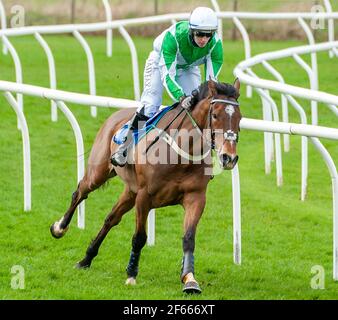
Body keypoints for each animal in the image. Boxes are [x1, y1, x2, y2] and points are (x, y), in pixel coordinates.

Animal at [49, 79, 240, 294]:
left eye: (240, 118)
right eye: (215, 115)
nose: (229, 157)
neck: (180, 156)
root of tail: (117, 115)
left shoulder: (196, 197)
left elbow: (189, 238)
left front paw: (190, 279)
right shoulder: (144, 196)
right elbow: (140, 236)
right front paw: (131, 274)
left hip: (130, 191)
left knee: (110, 218)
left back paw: (86, 259)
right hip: (99, 173)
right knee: (80, 192)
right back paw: (59, 228)